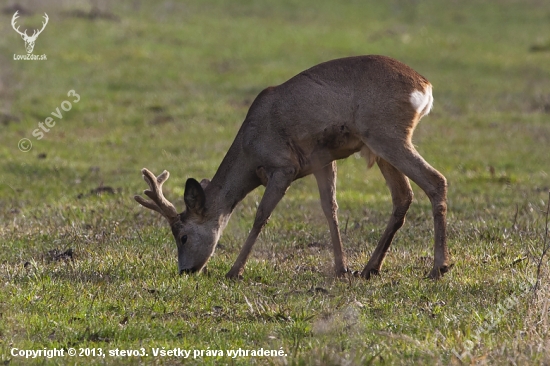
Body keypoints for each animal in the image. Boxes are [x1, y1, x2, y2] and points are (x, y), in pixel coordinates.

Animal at [135, 54, 452, 278]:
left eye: (183, 236)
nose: (185, 271)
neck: (250, 151)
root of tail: (425, 86)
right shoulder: (322, 159)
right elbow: (330, 209)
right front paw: (341, 268)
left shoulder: (283, 165)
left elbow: (261, 215)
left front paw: (234, 271)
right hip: (378, 145)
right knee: (403, 196)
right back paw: (369, 268)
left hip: (387, 133)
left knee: (435, 180)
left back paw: (438, 268)